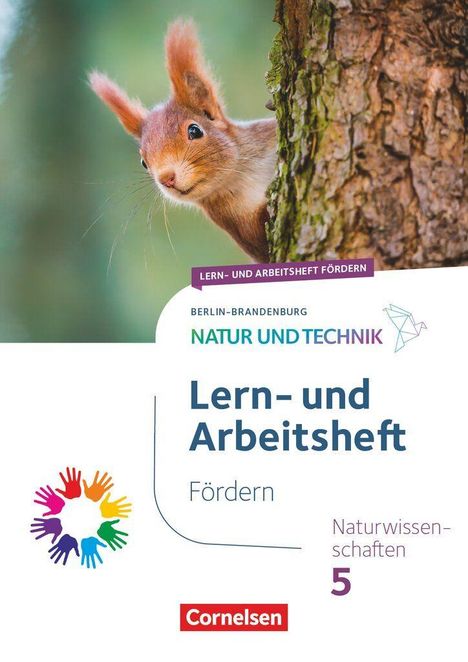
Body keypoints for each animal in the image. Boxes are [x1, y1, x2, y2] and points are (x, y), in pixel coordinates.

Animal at [89, 19, 277, 262]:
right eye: (143, 162)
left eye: (195, 131)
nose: (166, 178)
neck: (243, 175)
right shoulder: (239, 226)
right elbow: (262, 244)